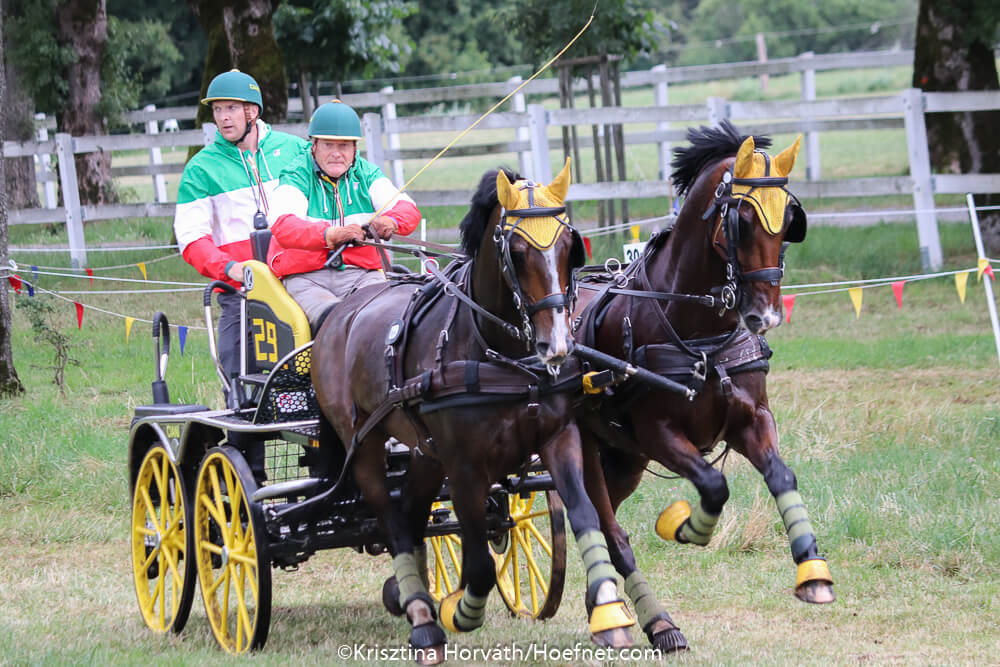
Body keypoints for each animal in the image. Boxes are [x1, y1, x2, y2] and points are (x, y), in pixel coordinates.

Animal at [310, 159, 636, 663]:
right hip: (363, 445)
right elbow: (480, 558)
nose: (558, 345)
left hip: (423, 449)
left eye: (569, 248)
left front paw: (609, 614)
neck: (500, 355)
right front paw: (459, 612)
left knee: (412, 512)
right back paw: (424, 620)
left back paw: (408, 596)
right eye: (516, 253)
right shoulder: (463, 466)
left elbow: (585, 516)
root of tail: (338, 313)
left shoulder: (558, 437)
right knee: (393, 520)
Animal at [573, 121, 834, 652]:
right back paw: (649, 622)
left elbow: (782, 477)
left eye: (790, 220)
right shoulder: (659, 433)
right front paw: (685, 527)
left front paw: (813, 571)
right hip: (589, 449)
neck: (697, 332)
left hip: (624, 460)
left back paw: (609, 607)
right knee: (607, 529)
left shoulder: (752, 419)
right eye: (742, 222)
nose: (765, 316)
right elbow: (714, 484)